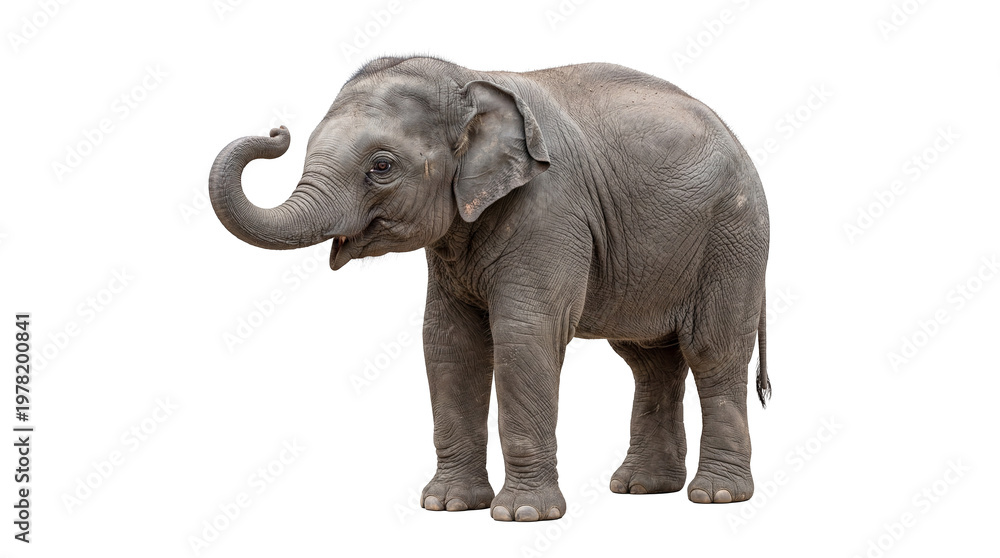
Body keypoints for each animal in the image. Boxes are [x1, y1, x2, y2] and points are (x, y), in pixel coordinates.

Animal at [209, 55, 770, 522]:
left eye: (382, 166)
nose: (276, 130)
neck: (469, 77)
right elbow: (449, 342)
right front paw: (447, 506)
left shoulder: (550, 209)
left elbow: (524, 335)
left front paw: (523, 515)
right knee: (650, 360)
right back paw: (641, 488)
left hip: (733, 238)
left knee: (713, 350)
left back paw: (716, 496)